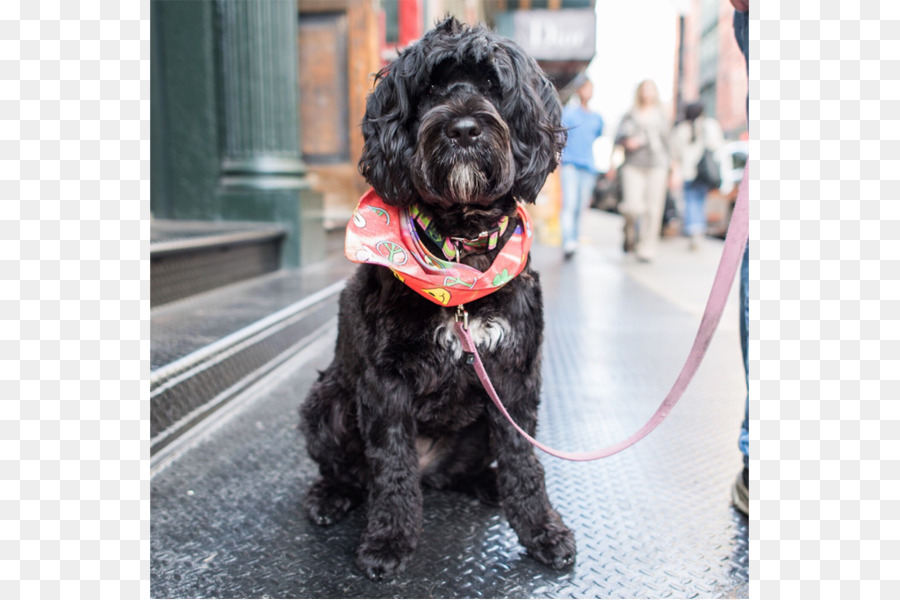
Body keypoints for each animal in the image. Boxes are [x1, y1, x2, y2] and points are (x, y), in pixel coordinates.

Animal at [298, 17, 572, 580]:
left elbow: (523, 460)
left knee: (467, 471)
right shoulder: (385, 383)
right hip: (327, 402)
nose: (463, 129)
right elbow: (392, 468)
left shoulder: (513, 377)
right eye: (428, 89)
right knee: (355, 473)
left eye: (492, 84)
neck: (460, 250)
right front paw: (389, 539)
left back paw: (487, 485)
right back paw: (329, 496)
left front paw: (542, 529)